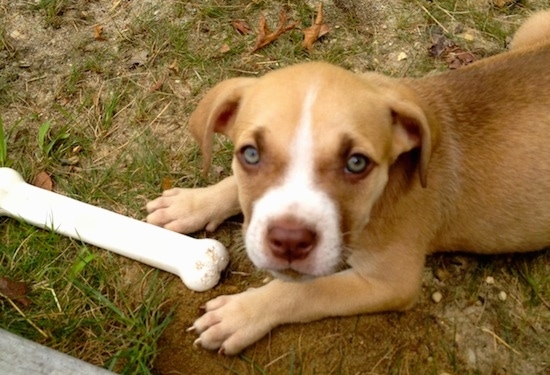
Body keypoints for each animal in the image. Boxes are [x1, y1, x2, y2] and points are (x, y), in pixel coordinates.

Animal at [146, 11, 550, 356]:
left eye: (357, 163)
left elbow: (308, 290)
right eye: (250, 155)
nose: (288, 240)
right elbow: (232, 186)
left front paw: (241, 314)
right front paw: (191, 205)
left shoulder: (390, 283)